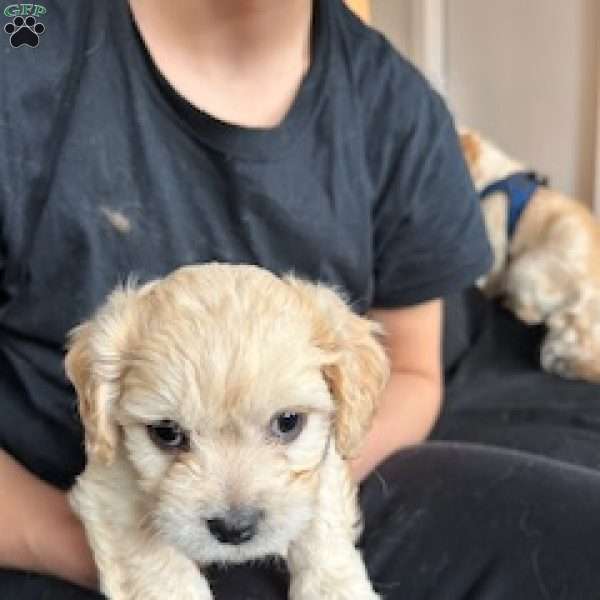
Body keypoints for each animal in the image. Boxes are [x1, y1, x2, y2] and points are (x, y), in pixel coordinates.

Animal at [65, 264, 390, 600]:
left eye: (288, 421)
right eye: (166, 432)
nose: (234, 529)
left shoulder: (324, 462)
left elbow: (321, 517)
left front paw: (337, 588)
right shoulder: (108, 485)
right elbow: (156, 562)